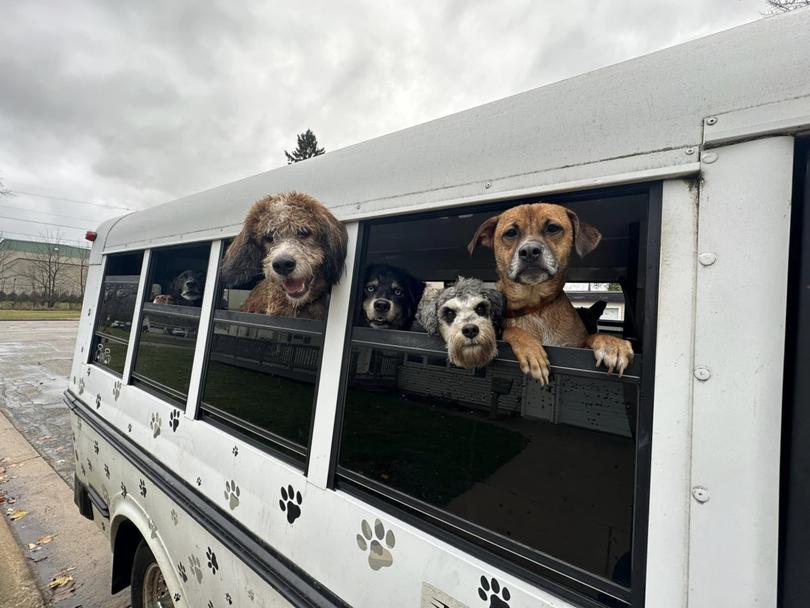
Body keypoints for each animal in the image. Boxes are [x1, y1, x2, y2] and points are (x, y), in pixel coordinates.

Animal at [468, 204, 632, 384]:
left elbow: (592, 336)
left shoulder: (576, 345)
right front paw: (532, 351)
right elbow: (514, 331)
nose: (529, 251)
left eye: (552, 228)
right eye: (510, 233)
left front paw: (612, 343)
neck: (536, 305)